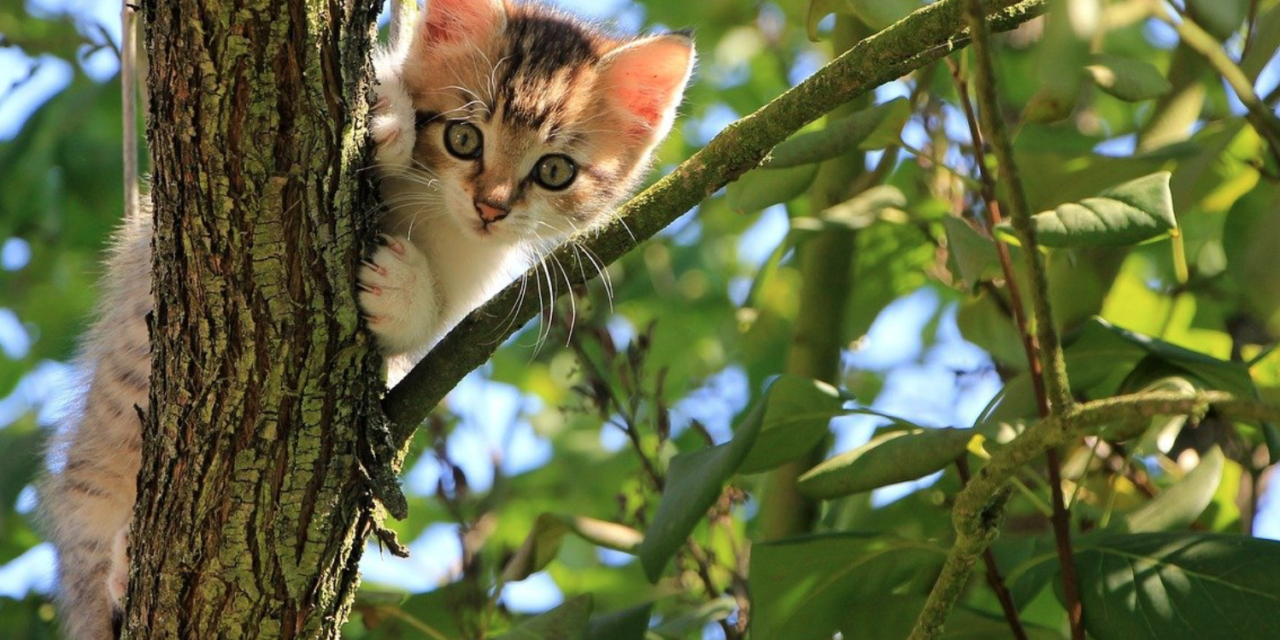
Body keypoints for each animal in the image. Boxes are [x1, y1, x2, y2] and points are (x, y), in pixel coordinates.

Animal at [40, 1, 696, 640]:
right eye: (464, 137)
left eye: (555, 171)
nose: (490, 207)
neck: (434, 212)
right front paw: (386, 114)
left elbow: (425, 331)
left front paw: (402, 290)